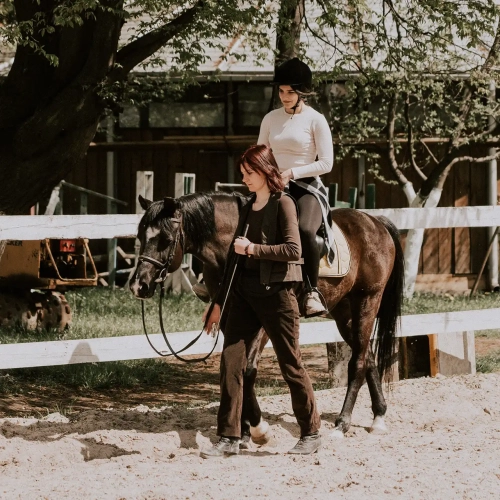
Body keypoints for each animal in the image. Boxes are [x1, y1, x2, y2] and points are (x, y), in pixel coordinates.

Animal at [130, 189, 406, 440]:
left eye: (166, 239)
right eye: (140, 236)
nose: (138, 286)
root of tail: (375, 222)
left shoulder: (264, 319)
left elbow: (248, 369)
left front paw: (257, 428)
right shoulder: (230, 317)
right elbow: (235, 365)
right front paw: (243, 430)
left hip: (367, 303)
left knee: (358, 362)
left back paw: (342, 424)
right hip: (344, 312)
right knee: (367, 356)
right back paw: (379, 417)